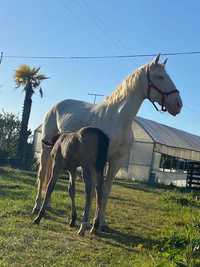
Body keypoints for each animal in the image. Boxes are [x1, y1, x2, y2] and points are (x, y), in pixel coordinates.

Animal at [32, 55, 183, 230]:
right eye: (160, 77)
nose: (178, 104)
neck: (118, 119)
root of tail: (55, 107)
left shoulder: (116, 161)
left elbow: (105, 191)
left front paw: (100, 222)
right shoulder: (98, 162)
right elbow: (95, 190)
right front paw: (89, 222)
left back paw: (48, 205)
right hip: (46, 150)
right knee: (42, 175)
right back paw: (37, 207)